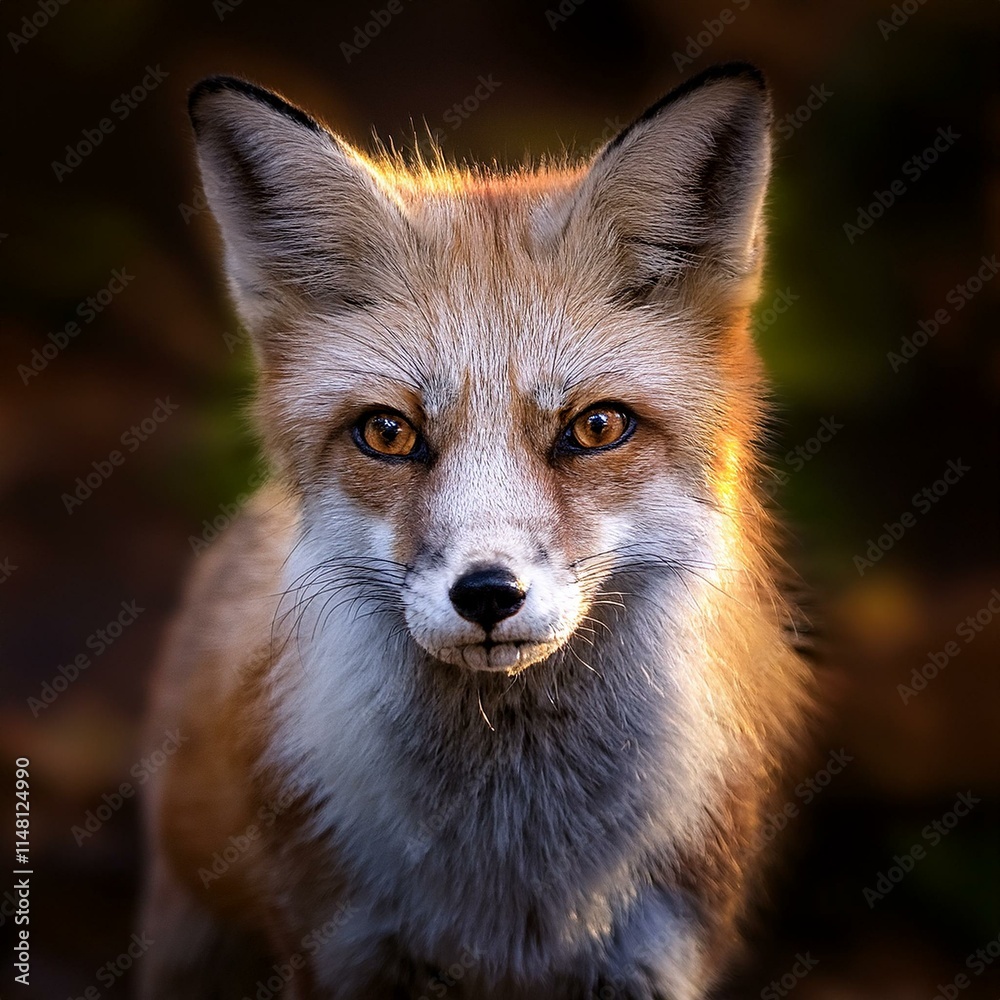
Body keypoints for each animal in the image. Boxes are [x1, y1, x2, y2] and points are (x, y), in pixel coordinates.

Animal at [139, 63, 811, 1000]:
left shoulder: (655, 951)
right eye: (388, 433)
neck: (511, 889)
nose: (488, 594)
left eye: (597, 427)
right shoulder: (341, 949)